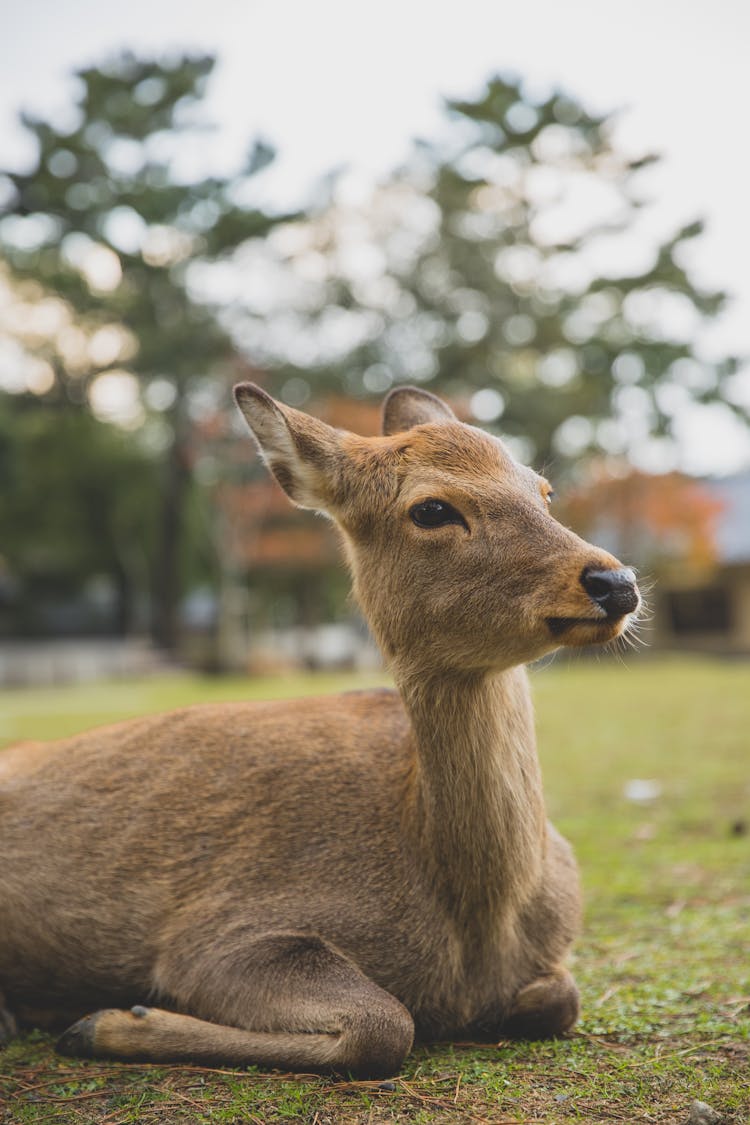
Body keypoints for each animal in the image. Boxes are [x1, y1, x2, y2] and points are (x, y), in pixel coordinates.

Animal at [0, 387, 638, 1080]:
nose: (615, 581)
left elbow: (562, 997)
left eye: (543, 490)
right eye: (432, 509)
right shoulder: (217, 935)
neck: (476, 929)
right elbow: (384, 1024)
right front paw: (107, 1021)